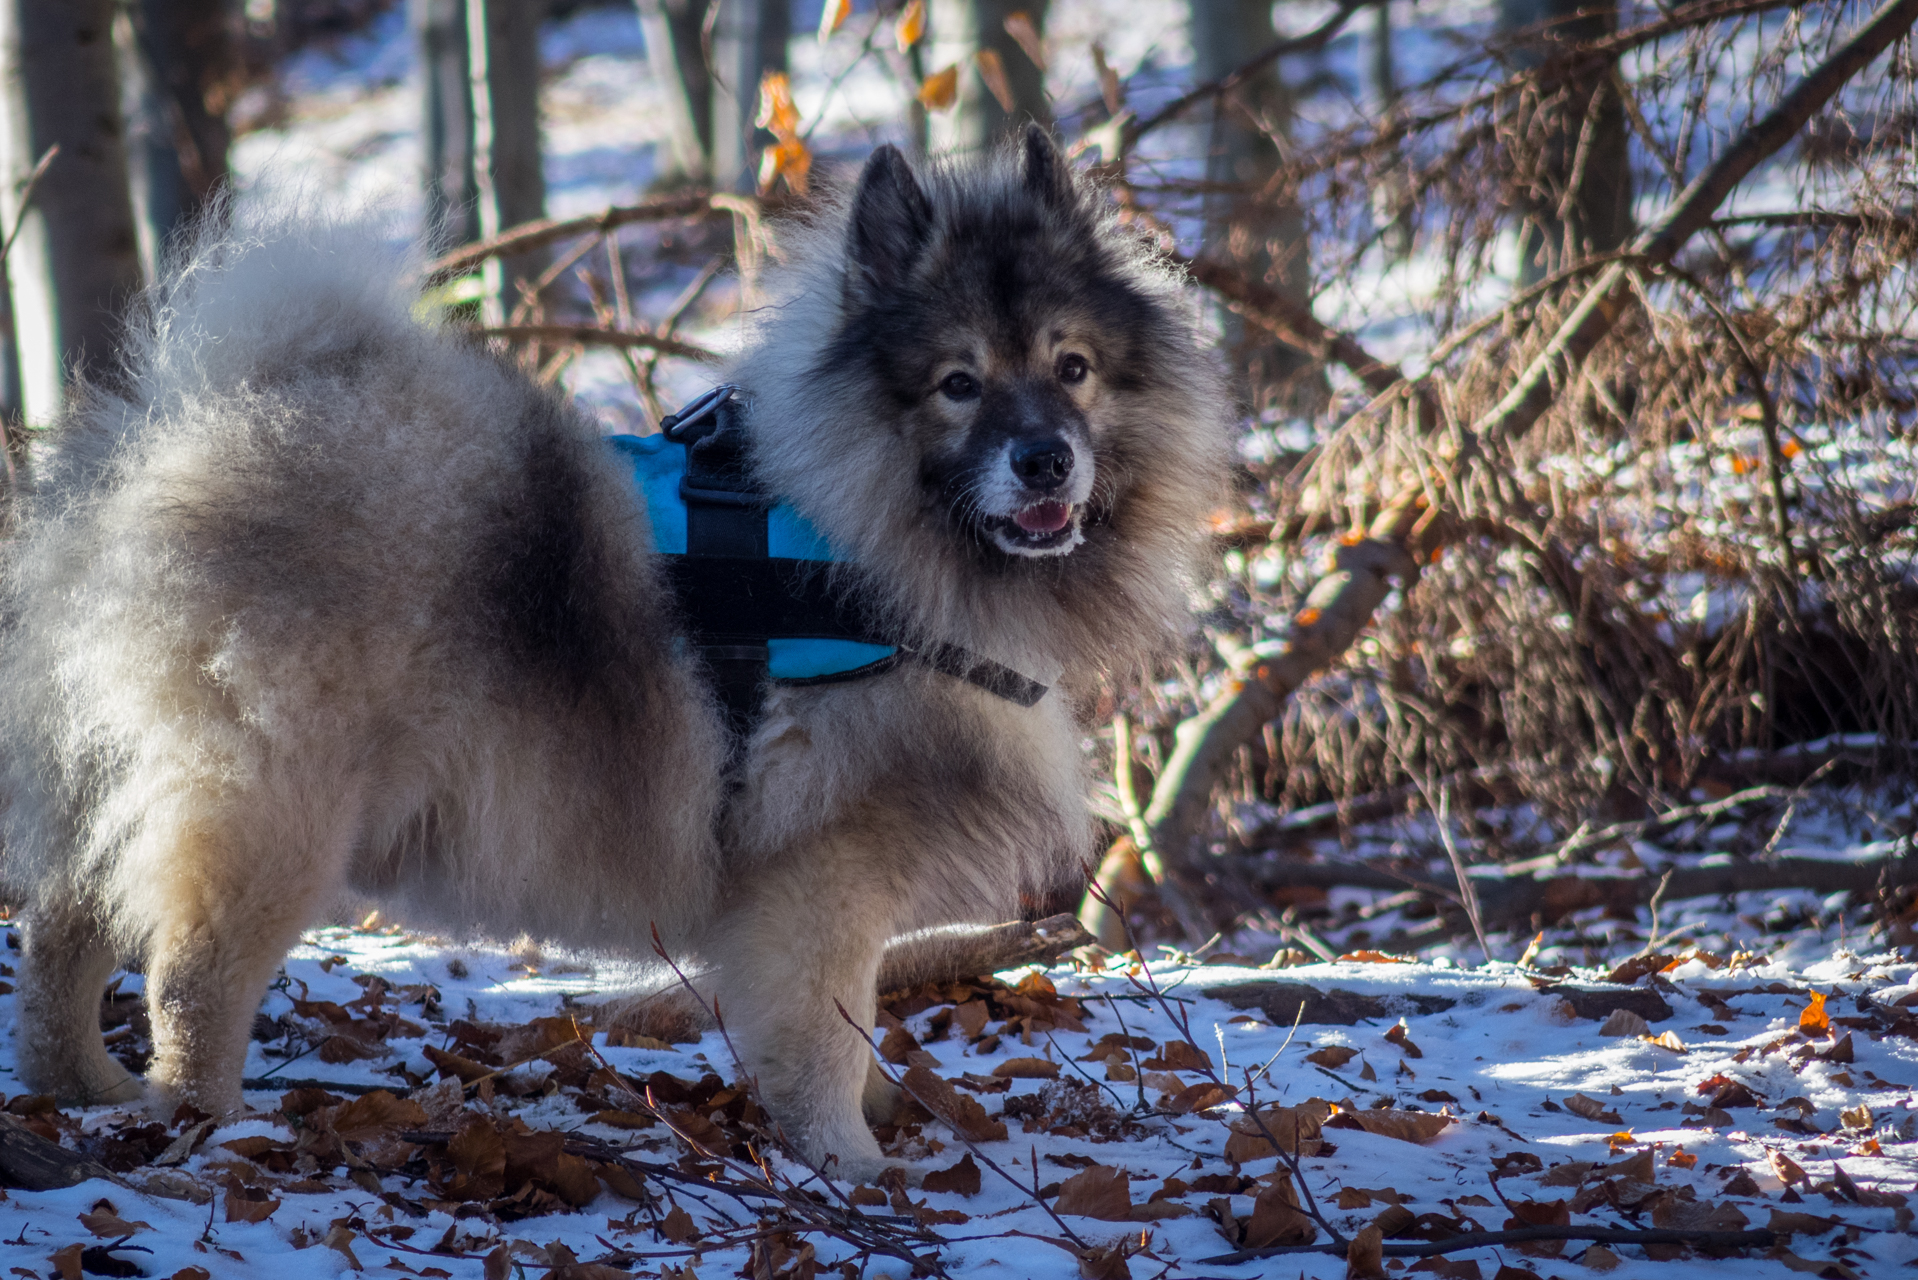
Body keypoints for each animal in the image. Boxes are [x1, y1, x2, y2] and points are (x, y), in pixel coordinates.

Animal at [0, 130, 1227, 1182]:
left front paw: (881, 1113)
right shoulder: (818, 880)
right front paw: (852, 1160)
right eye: (957, 383)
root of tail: (193, 426)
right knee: (191, 973)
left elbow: (857, 1012)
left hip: (121, 768)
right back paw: (203, 1125)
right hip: (279, 805)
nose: (1045, 458)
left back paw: (84, 1088)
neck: (861, 535)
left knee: (62, 932)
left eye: (1073, 368)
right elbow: (825, 1027)